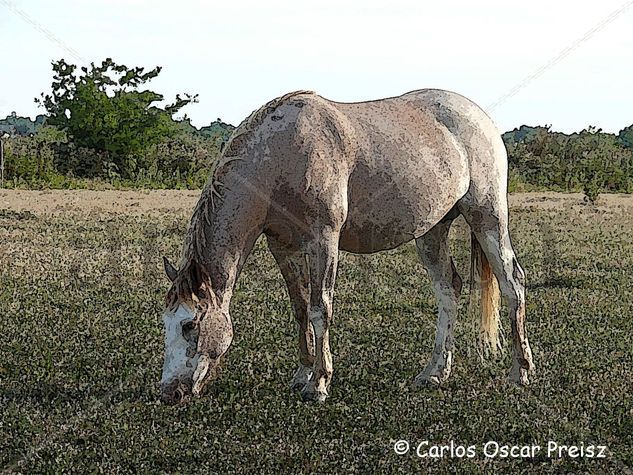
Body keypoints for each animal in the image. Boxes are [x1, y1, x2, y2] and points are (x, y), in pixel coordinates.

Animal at [158, 88, 532, 406]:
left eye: (189, 325)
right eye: (166, 322)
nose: (169, 393)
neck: (281, 154)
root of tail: (480, 117)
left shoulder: (323, 240)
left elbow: (319, 308)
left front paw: (319, 384)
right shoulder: (282, 247)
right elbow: (300, 308)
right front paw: (303, 374)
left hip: (487, 217)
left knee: (512, 283)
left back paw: (520, 372)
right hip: (432, 231)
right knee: (448, 290)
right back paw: (434, 373)